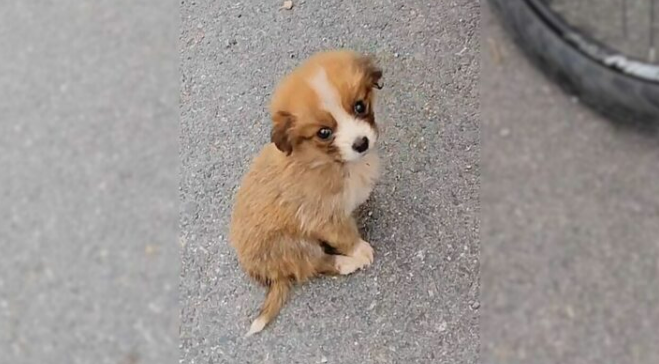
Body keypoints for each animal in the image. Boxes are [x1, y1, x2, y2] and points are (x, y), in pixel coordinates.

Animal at [231, 49, 384, 336]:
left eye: (360, 106)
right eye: (324, 132)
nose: (361, 143)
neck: (325, 160)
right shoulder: (322, 215)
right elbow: (345, 235)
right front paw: (359, 250)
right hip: (294, 245)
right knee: (316, 264)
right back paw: (348, 263)